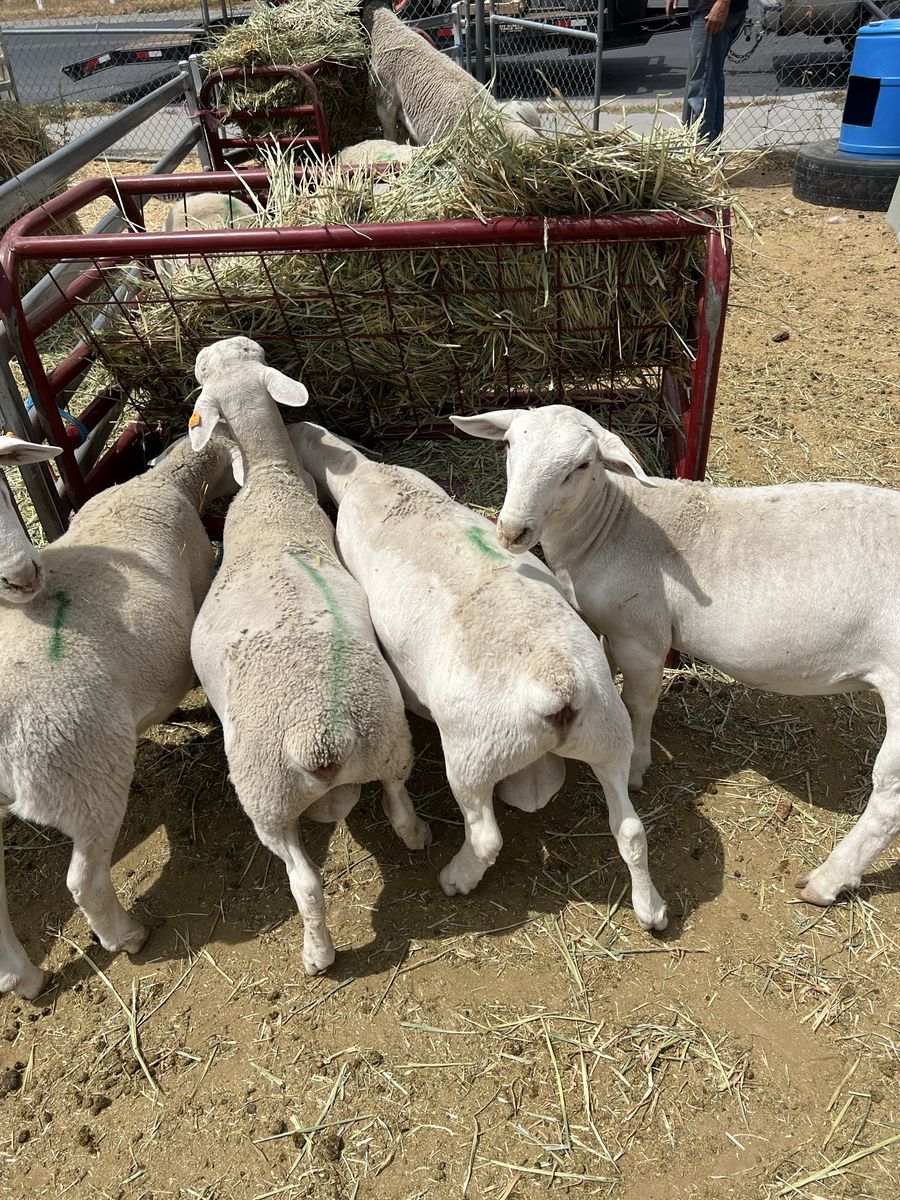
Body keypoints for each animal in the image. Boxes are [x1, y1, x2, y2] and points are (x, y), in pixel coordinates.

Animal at [186, 337, 429, 976]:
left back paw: (317, 953)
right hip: (389, 743)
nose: (207, 349)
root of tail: (318, 738)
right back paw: (416, 836)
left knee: (306, 884)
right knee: (397, 804)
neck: (271, 484)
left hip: (265, 799)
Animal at [289, 420, 668, 932]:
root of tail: (558, 684)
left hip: (474, 757)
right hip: (609, 736)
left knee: (487, 836)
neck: (371, 479)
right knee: (630, 828)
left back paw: (457, 877)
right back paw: (651, 908)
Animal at [453, 403, 900, 907]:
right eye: (510, 444)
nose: (512, 531)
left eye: (581, 466)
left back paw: (827, 881)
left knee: (889, 800)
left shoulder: (641, 636)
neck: (608, 527)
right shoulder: (609, 629)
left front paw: (636, 765)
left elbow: (639, 704)